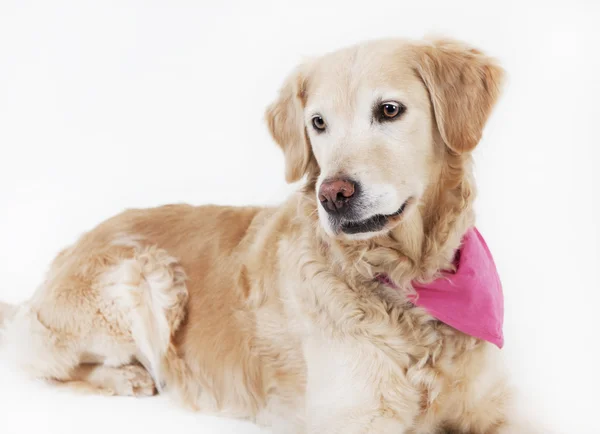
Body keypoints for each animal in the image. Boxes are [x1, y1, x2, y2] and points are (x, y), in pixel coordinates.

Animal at [0, 37, 536, 434]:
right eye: (318, 123)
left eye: (389, 110)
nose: (332, 194)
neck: (412, 281)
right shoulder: (355, 416)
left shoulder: (496, 405)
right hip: (144, 275)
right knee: (49, 364)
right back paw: (130, 377)